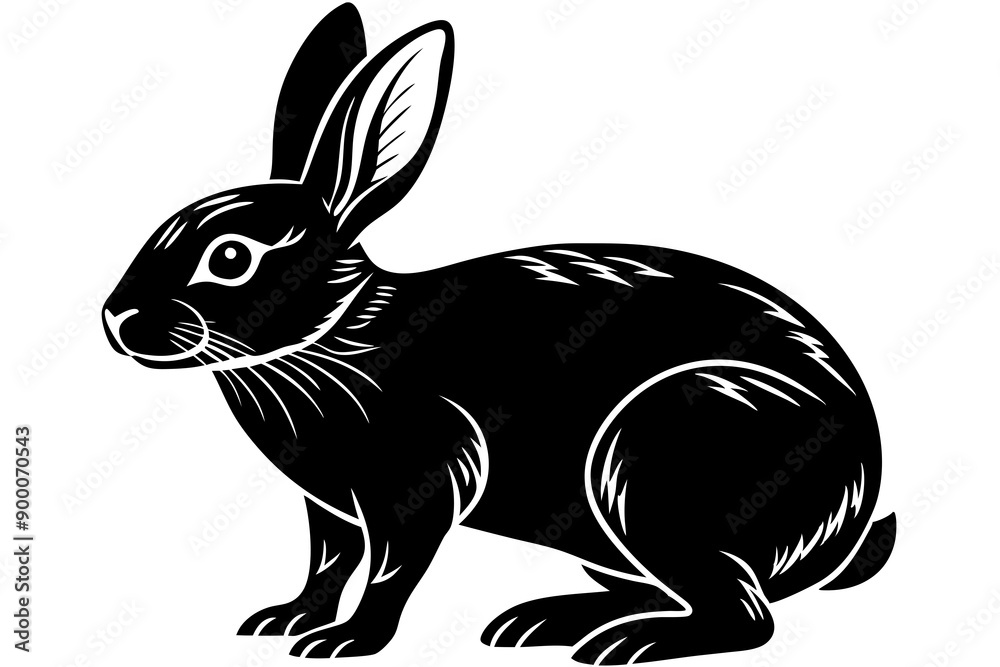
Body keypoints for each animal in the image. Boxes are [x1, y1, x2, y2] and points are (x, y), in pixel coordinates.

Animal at [102, 3, 895, 663]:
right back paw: (547, 621)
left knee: (745, 614)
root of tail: (855, 501)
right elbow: (327, 562)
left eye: (230, 258)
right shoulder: (329, 507)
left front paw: (344, 642)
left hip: (658, 459)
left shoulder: (420, 478)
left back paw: (624, 644)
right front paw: (285, 619)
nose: (117, 321)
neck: (335, 330)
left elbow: (391, 568)